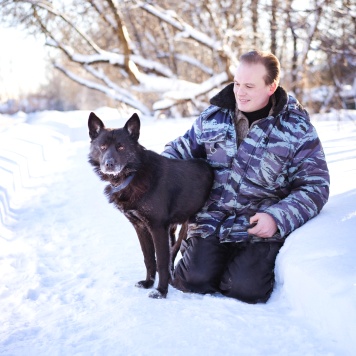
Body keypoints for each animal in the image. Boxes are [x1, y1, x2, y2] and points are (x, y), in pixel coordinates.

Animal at [87, 112, 213, 298]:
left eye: (121, 147)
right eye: (102, 147)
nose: (109, 164)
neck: (133, 174)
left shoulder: (157, 227)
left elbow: (160, 260)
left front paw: (161, 291)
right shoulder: (140, 227)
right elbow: (149, 258)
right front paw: (148, 283)